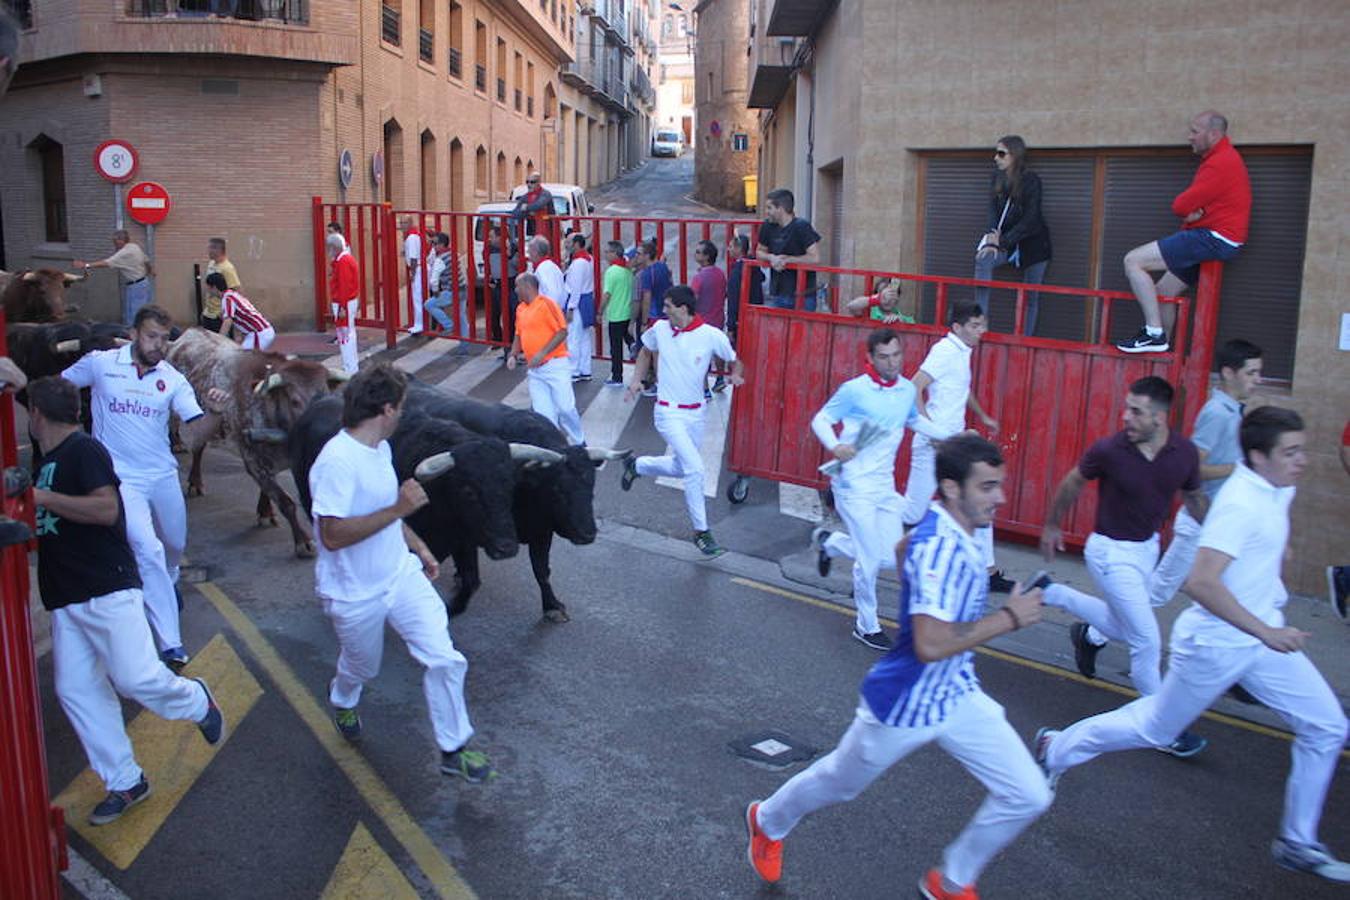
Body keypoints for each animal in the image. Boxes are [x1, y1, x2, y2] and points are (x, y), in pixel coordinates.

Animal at [167, 327, 348, 558]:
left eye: (326, 394)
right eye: (294, 401)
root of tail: (187, 334)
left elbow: (268, 490)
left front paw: (265, 512)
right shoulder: (253, 461)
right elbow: (286, 502)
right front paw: (303, 542)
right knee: (185, 437)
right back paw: (186, 463)